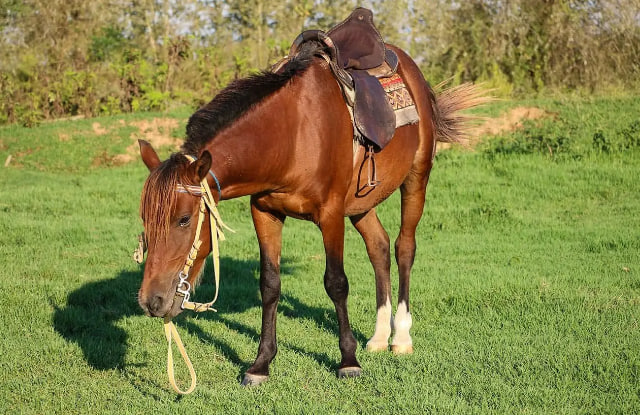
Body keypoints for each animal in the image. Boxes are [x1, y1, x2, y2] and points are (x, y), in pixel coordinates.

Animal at [136, 39, 484, 386]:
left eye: (184, 220)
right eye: (145, 221)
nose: (151, 301)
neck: (291, 136)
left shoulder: (330, 215)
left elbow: (336, 283)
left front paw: (348, 361)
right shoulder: (264, 213)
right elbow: (270, 285)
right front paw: (261, 364)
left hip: (416, 178)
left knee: (404, 249)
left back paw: (400, 337)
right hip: (361, 204)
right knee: (379, 247)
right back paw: (378, 336)